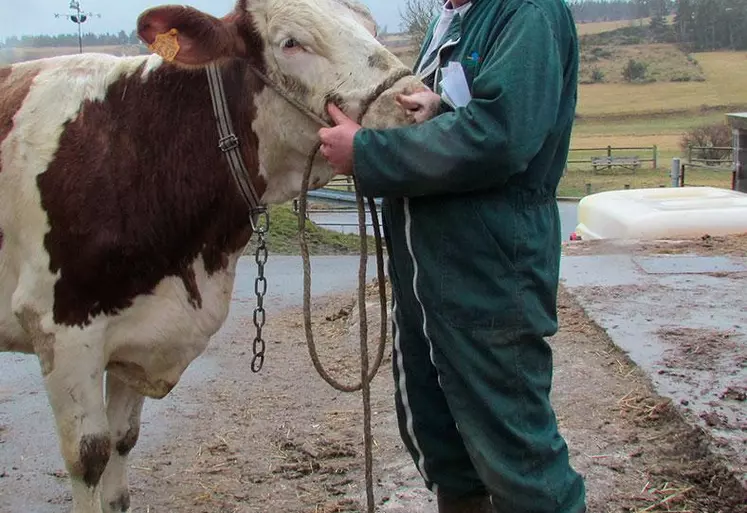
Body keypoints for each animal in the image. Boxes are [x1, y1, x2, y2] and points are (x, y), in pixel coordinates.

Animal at [0, 1, 426, 512]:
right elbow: (90, 456)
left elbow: (123, 445)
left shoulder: (137, 335)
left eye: (371, 27)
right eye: (291, 42)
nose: (421, 103)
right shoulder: (61, 331)